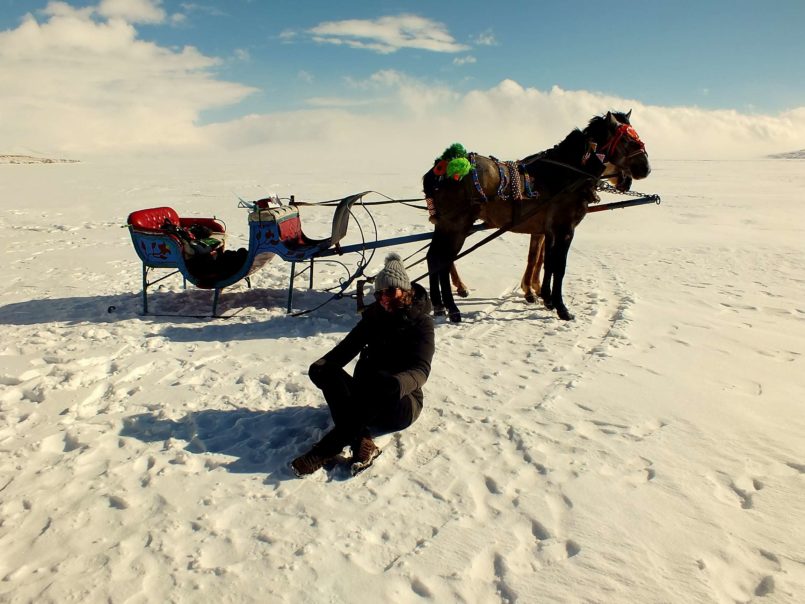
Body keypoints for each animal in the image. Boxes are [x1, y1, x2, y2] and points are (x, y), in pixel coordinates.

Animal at [424, 111, 652, 324]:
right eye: (627, 140)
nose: (645, 169)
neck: (566, 175)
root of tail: (439, 169)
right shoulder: (565, 230)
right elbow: (558, 266)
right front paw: (561, 308)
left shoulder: (548, 231)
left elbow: (546, 262)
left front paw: (547, 299)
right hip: (457, 226)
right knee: (443, 260)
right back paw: (453, 309)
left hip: (445, 227)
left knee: (433, 257)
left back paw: (439, 305)